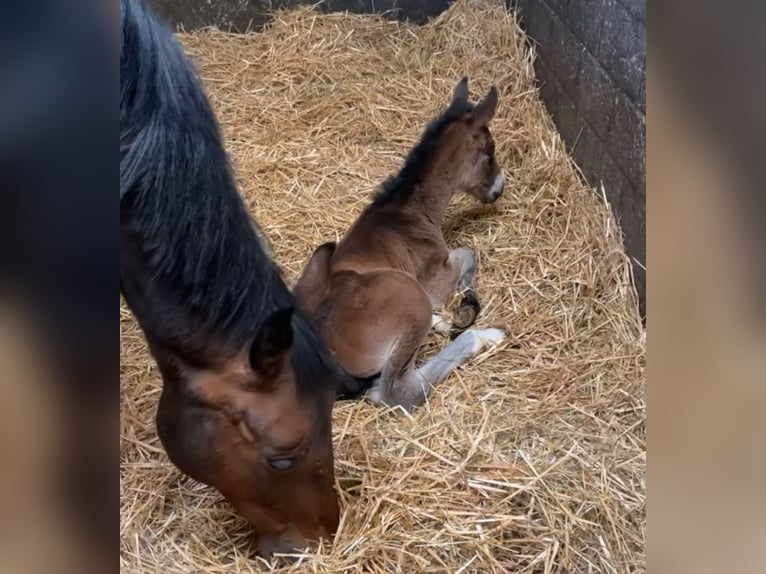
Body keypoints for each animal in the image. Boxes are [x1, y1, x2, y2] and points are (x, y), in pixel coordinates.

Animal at [296, 79, 508, 412]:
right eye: (490, 150)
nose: (499, 189)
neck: (408, 213)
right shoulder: (434, 282)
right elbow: (467, 255)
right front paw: (468, 303)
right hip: (412, 297)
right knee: (397, 392)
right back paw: (482, 335)